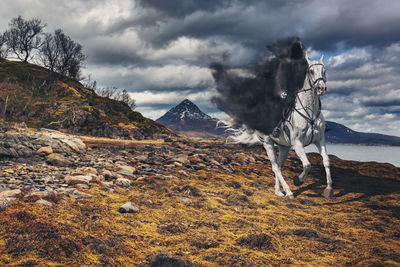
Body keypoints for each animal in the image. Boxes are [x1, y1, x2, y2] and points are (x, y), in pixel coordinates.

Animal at [231, 55, 332, 200]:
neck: (310, 113)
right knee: (275, 167)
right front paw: (298, 180)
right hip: (268, 143)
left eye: (324, 70)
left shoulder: (320, 140)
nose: (321, 88)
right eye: (311, 71)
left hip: (284, 147)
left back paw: (278, 191)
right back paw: (288, 192)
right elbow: (307, 165)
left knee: (278, 166)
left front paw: (328, 189)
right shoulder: (297, 144)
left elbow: (326, 161)